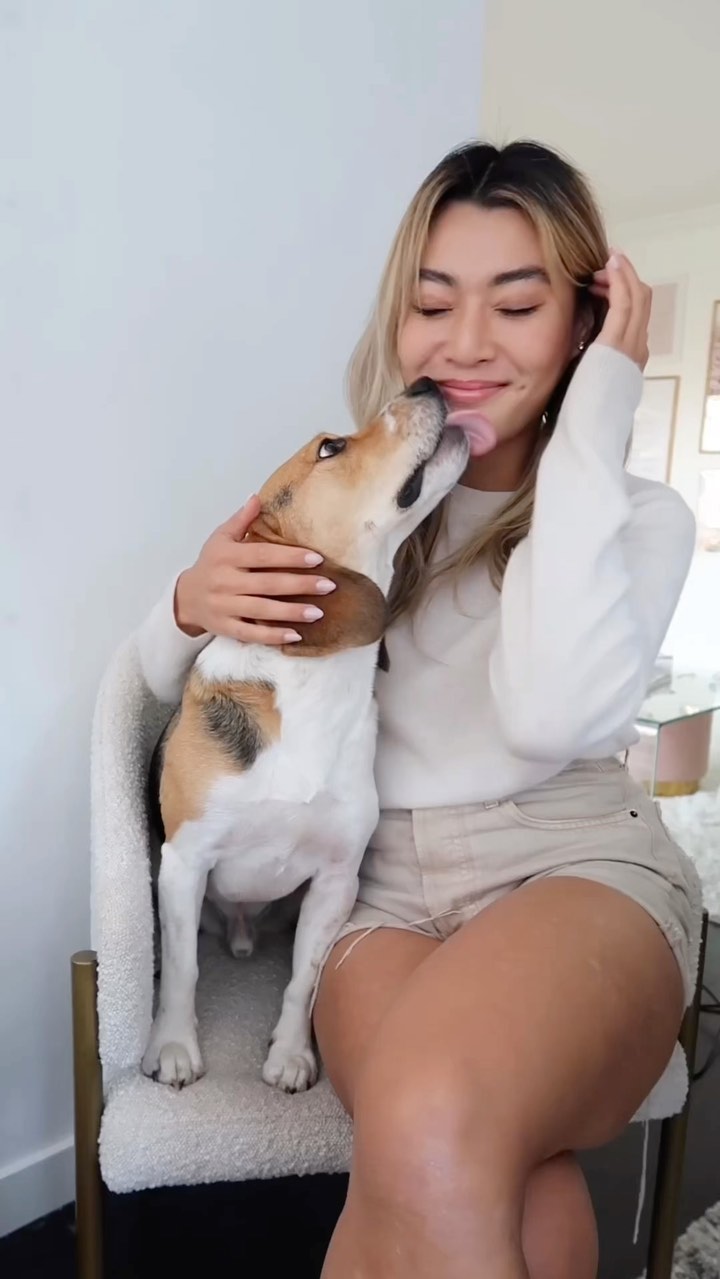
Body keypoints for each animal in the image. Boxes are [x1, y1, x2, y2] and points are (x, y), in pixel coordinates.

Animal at [141, 377, 469, 1092]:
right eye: (331, 448)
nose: (426, 382)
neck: (314, 686)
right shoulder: (183, 865)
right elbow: (182, 972)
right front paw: (174, 1048)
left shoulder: (337, 879)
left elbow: (303, 980)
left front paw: (291, 1055)